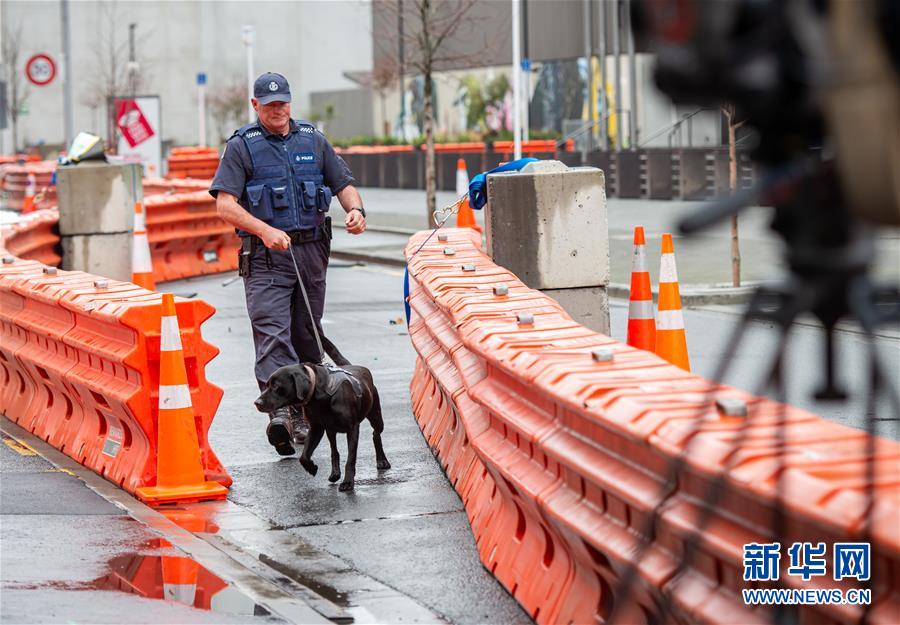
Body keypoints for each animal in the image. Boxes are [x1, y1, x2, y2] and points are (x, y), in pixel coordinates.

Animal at [255, 336, 392, 492]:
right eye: (267, 385)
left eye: (276, 386)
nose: (257, 402)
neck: (320, 394)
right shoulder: (316, 428)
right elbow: (304, 456)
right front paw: (312, 468)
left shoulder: (352, 428)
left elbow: (351, 458)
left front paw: (348, 482)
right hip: (330, 430)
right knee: (334, 450)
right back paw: (335, 473)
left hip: (375, 416)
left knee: (376, 435)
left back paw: (382, 461)